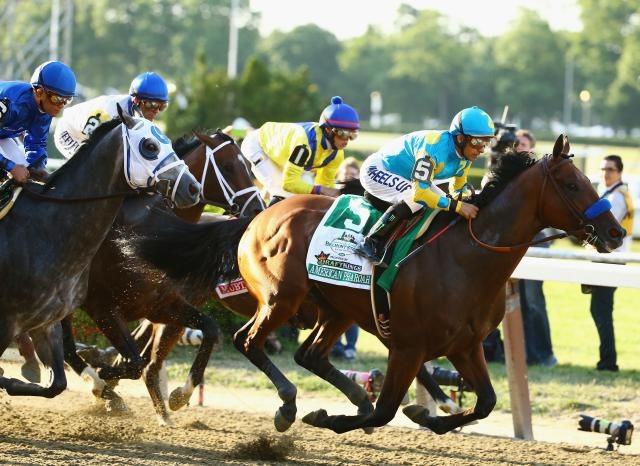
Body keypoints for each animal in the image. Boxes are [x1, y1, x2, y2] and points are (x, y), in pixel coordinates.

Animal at [58, 129, 264, 422]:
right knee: (66, 345)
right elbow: (135, 361)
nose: (258, 208)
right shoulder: (103, 307)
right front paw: (104, 375)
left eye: (248, 164)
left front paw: (180, 396)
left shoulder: (162, 305)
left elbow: (208, 330)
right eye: (227, 166)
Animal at [228, 134, 624, 434]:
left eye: (589, 182)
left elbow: (486, 402)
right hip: (281, 298)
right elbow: (384, 411)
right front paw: (331, 418)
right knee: (247, 340)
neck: (466, 259)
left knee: (307, 354)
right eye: (572, 185)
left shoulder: (465, 345)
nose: (616, 232)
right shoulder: (407, 347)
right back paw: (289, 405)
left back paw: (351, 397)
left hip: (338, 309)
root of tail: (263, 213)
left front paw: (426, 415)